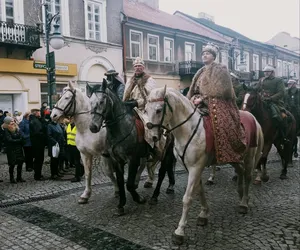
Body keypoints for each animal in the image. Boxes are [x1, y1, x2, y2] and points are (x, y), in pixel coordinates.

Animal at [145, 87, 264, 244]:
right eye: (145, 110)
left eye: (159, 110)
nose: (152, 136)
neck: (189, 130)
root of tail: (253, 117)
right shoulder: (191, 168)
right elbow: (199, 190)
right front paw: (204, 213)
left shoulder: (195, 168)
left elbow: (188, 198)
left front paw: (180, 231)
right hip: (234, 159)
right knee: (240, 171)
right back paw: (240, 194)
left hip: (250, 156)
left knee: (248, 176)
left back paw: (244, 202)